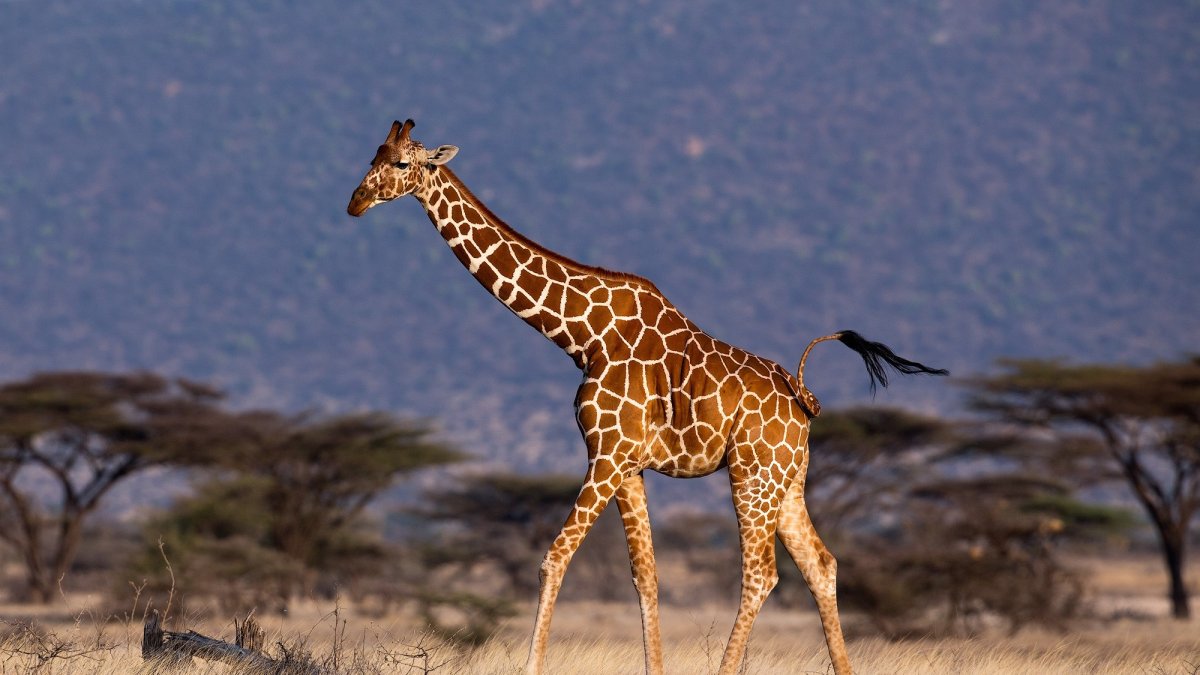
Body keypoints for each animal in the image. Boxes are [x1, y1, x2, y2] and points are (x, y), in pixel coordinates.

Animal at [347, 119, 948, 675]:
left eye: (401, 164)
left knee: (761, 573)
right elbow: (646, 577)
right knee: (821, 564)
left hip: (752, 473)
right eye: (373, 154)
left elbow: (553, 558)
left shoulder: (607, 454)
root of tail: (803, 399)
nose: (355, 202)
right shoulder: (627, 463)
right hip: (787, 478)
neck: (581, 335)